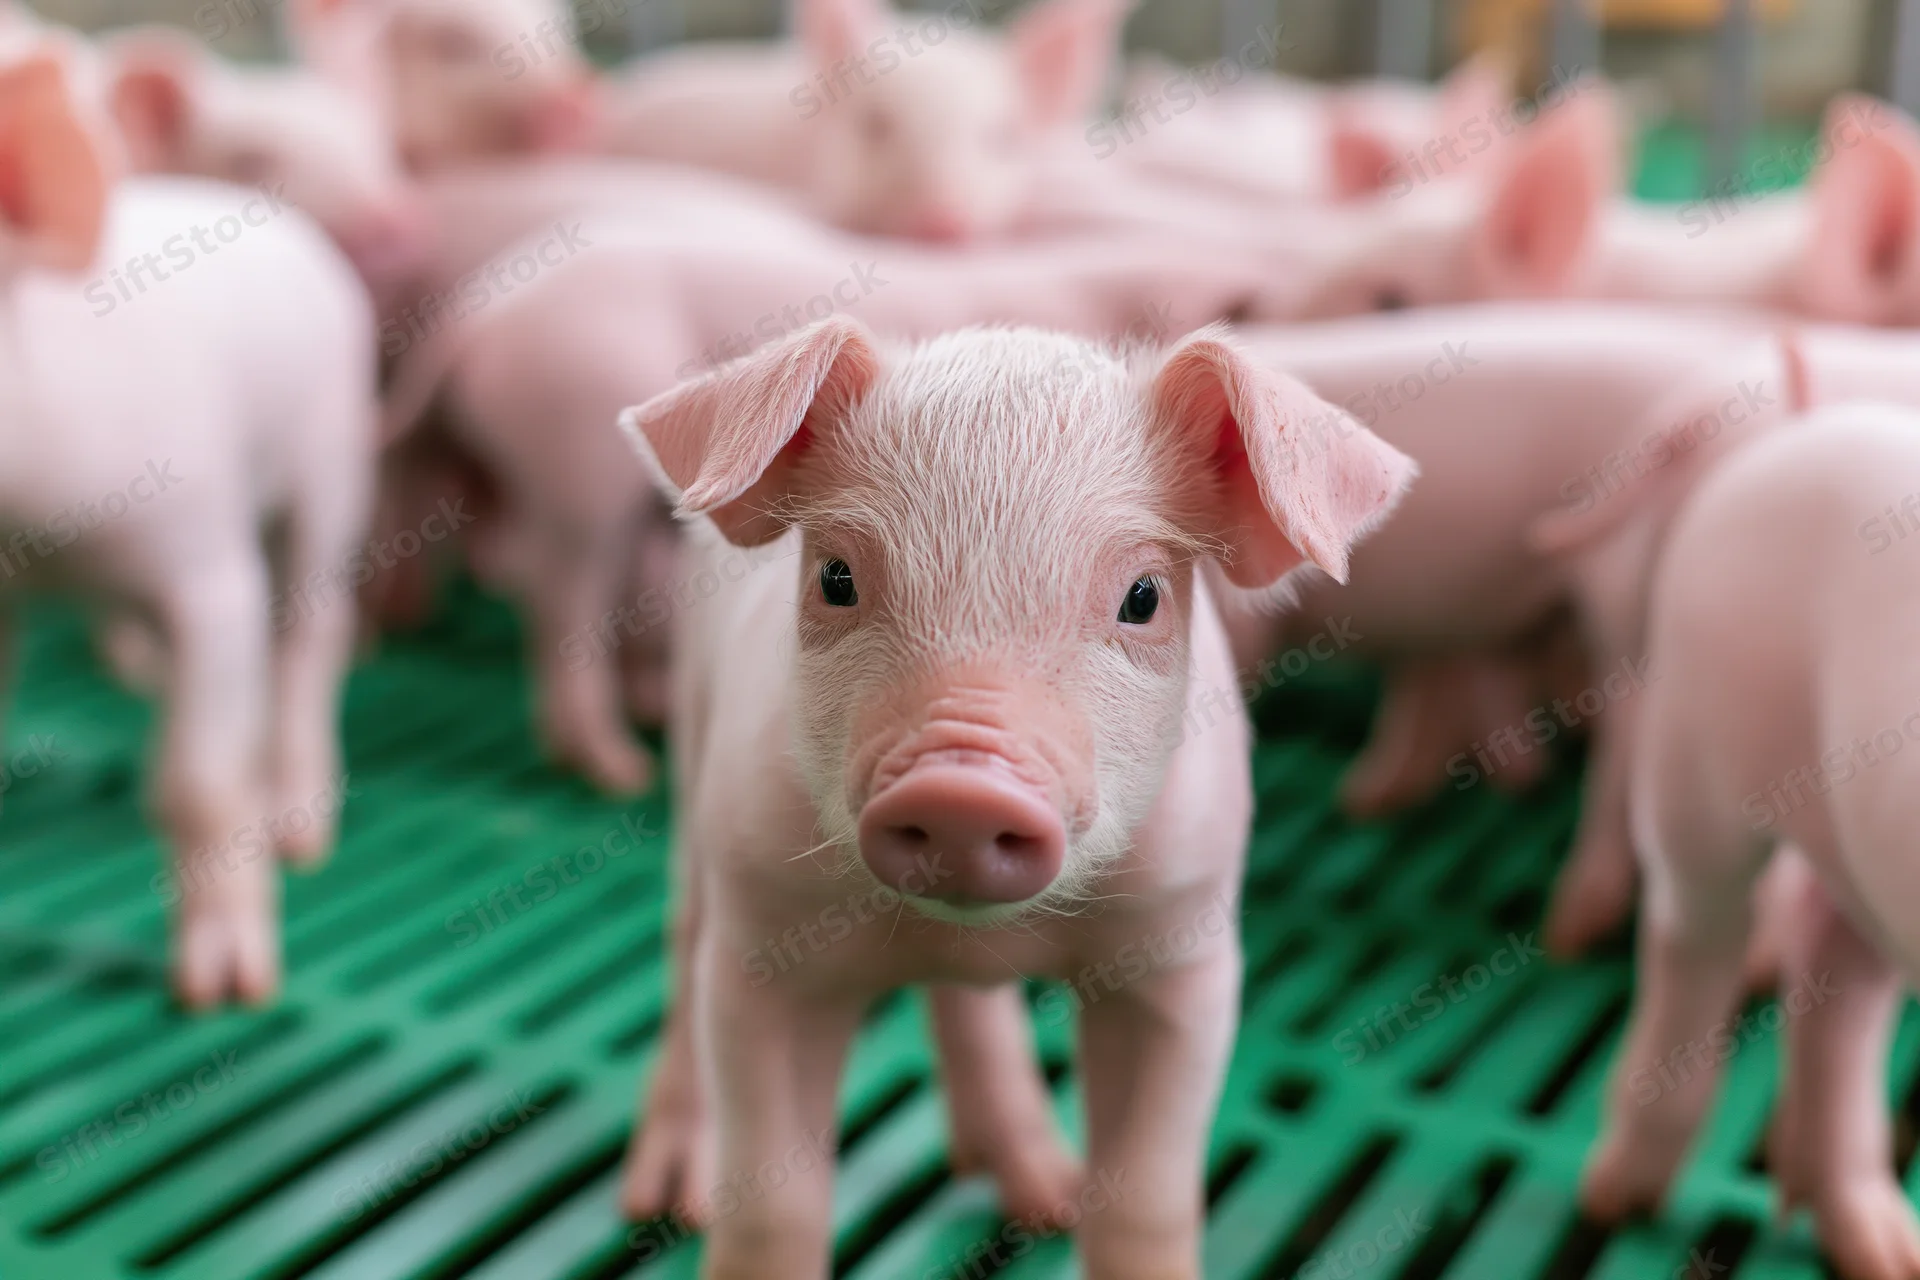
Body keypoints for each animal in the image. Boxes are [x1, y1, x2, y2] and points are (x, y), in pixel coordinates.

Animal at [0, 50, 377, 1007]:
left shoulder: (204, 564)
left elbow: (194, 779)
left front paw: (221, 992)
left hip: (331, 455)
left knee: (311, 631)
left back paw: (297, 827)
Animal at [615, 315, 1413, 1277]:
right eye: (836, 578)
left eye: (1143, 596)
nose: (962, 788)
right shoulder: (764, 938)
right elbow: (773, 1205)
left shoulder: (1182, 945)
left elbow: (1146, 1199)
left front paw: (1083, 1216)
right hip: (697, 758)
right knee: (684, 936)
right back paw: (668, 1199)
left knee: (968, 1007)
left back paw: (1044, 1200)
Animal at [1580, 402, 1920, 1280]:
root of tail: (1793, 436)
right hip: (1690, 761)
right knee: (1694, 940)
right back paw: (1615, 1197)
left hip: (1856, 851)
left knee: (1836, 983)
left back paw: (1881, 1249)